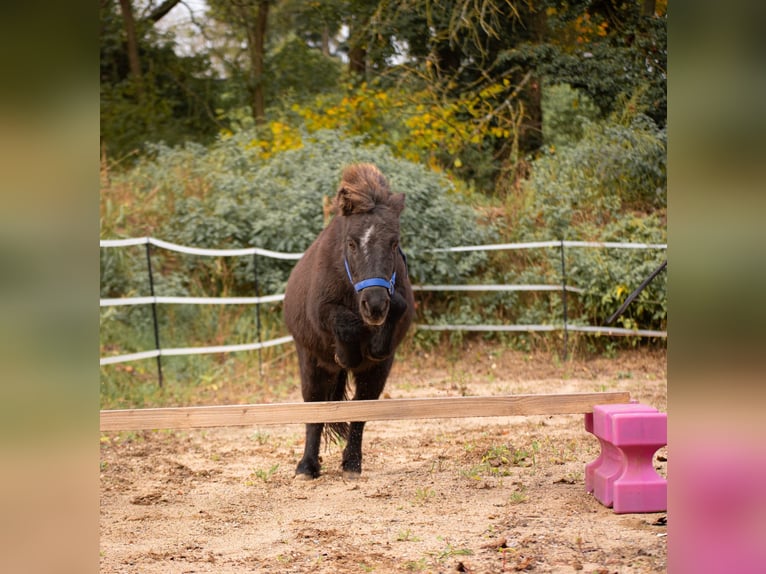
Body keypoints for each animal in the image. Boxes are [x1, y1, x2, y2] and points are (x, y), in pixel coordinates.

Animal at [284, 163, 414, 482]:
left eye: (394, 243)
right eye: (352, 243)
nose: (375, 305)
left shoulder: (385, 350)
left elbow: (393, 316)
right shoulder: (323, 314)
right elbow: (346, 323)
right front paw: (346, 354)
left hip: (376, 374)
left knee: (360, 409)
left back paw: (352, 463)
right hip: (310, 361)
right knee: (314, 408)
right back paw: (307, 466)